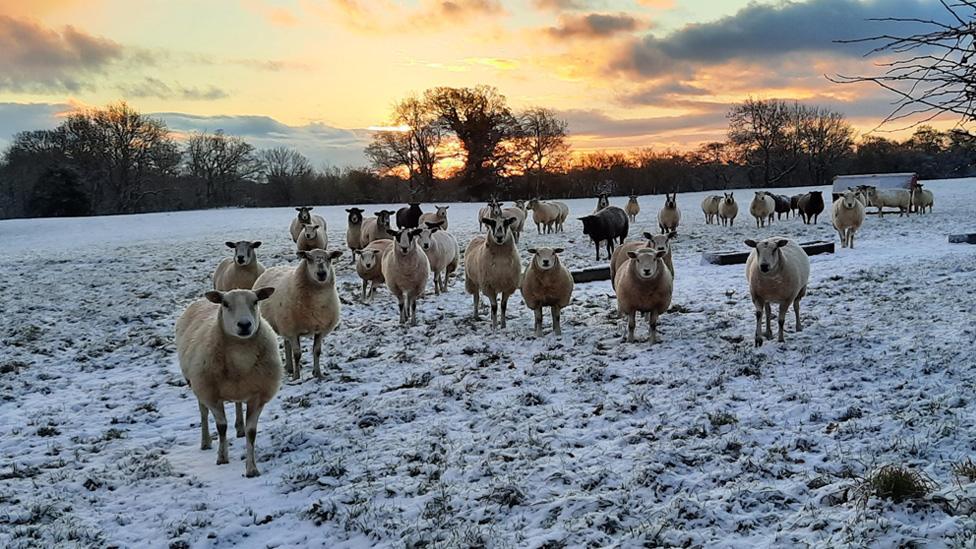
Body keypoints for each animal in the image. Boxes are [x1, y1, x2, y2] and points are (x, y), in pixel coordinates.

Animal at [175, 286, 280, 476]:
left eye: (255, 301)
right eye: (225, 304)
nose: (244, 325)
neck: (240, 354)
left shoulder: (258, 396)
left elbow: (251, 432)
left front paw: (251, 469)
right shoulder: (211, 394)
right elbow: (221, 427)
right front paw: (222, 458)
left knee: (238, 405)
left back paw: (239, 428)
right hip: (197, 384)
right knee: (203, 412)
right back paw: (205, 441)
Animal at [252, 250, 344, 378]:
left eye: (330, 258)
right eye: (308, 258)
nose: (322, 274)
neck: (317, 303)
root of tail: (275, 267)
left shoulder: (320, 330)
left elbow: (317, 351)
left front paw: (318, 373)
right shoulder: (292, 331)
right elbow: (297, 354)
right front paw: (297, 377)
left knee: (286, 342)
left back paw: (290, 368)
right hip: (284, 324)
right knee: (288, 344)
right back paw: (291, 368)